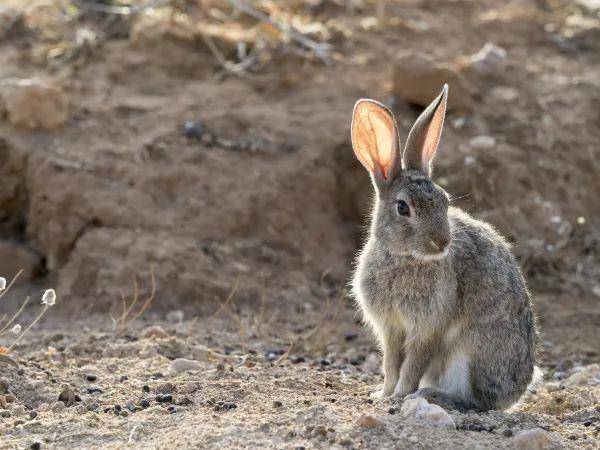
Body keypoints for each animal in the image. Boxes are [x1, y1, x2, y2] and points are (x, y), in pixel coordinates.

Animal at [350, 84, 536, 412]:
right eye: (403, 208)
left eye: (444, 201)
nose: (443, 241)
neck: (404, 258)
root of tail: (515, 393)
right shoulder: (391, 329)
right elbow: (391, 364)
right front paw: (383, 395)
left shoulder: (428, 327)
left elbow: (412, 365)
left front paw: (399, 396)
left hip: (469, 356)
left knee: (477, 401)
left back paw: (433, 396)